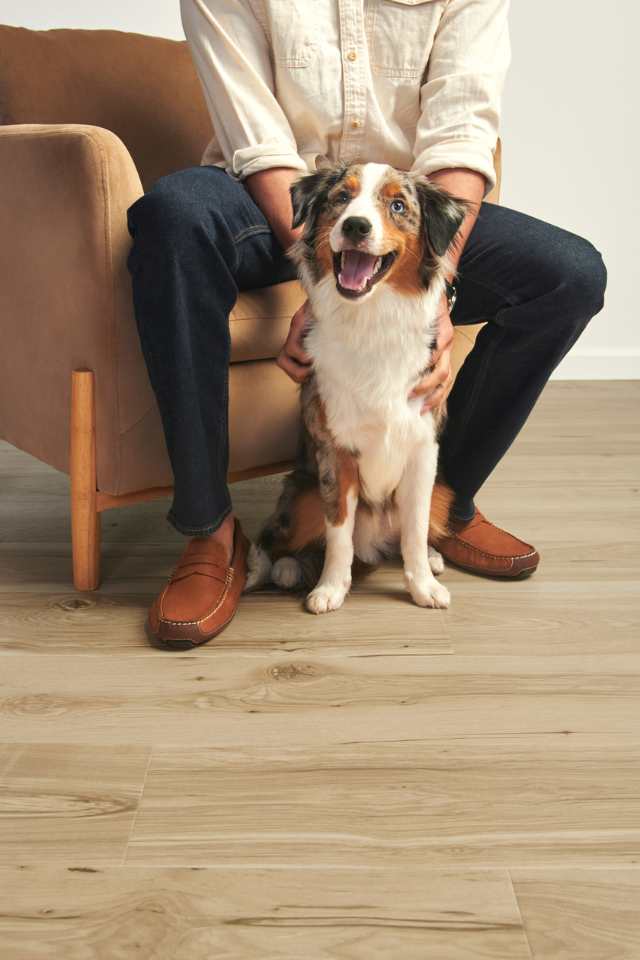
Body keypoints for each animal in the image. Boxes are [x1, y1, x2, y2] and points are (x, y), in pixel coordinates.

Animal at [248, 160, 468, 612]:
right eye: (341, 198)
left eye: (398, 205)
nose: (355, 226)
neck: (372, 318)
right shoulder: (336, 453)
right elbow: (338, 536)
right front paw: (330, 589)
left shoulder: (423, 450)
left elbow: (415, 530)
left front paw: (422, 586)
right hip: (301, 493)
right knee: (277, 541)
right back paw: (286, 568)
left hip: (443, 490)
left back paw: (433, 558)